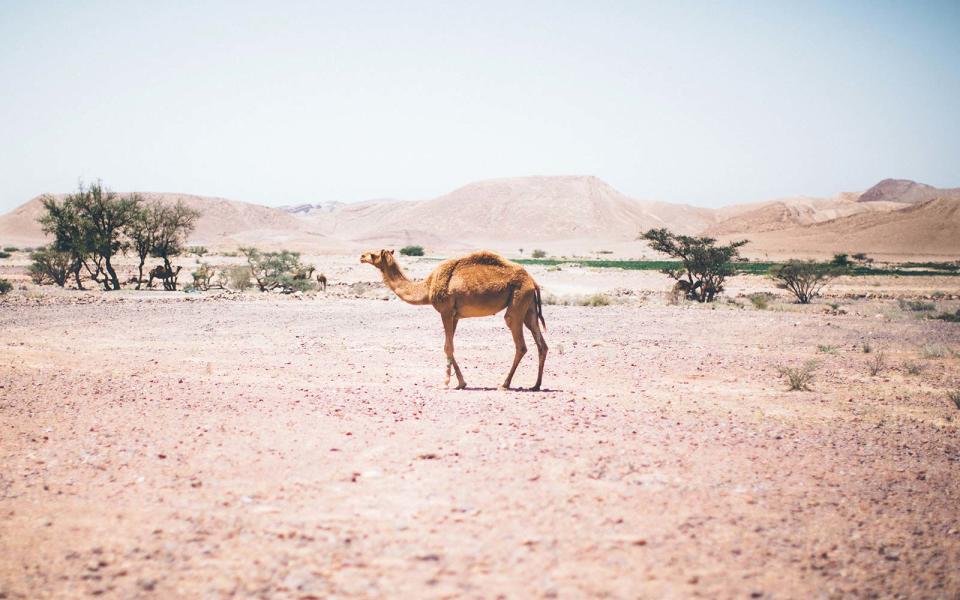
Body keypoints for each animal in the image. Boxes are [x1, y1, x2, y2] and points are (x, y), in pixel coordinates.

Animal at [360, 247, 548, 390]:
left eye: (373, 254)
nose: (361, 256)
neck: (427, 287)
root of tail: (533, 281)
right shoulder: (454, 315)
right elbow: (449, 346)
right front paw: (461, 383)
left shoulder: (445, 311)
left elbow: (447, 347)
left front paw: (446, 383)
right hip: (529, 307)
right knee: (542, 344)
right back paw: (536, 385)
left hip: (518, 301)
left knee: (520, 342)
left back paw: (505, 384)